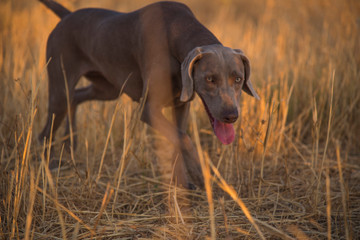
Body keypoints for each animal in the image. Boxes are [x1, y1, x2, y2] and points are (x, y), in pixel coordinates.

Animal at [38, 0, 258, 188]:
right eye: (210, 79)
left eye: (238, 79)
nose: (231, 116)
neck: (177, 32)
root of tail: (67, 16)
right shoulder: (148, 110)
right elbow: (183, 138)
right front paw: (199, 175)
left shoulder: (181, 105)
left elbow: (178, 138)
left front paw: (182, 183)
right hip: (60, 85)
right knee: (47, 130)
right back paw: (50, 165)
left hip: (107, 88)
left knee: (75, 98)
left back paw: (70, 144)